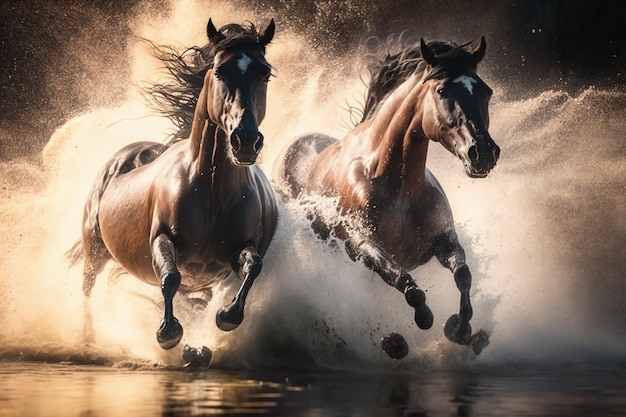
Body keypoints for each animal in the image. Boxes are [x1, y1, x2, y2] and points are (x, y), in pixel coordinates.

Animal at [66, 19, 278, 352]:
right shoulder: (162, 238)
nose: (245, 141)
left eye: (265, 72)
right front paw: (168, 334)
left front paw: (226, 316)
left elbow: (253, 267)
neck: (212, 192)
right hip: (95, 250)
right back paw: (88, 341)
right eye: (219, 71)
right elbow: (170, 278)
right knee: (88, 289)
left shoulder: (241, 248)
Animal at [278, 37, 498, 354]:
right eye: (442, 90)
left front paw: (460, 328)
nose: (483, 153)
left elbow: (463, 274)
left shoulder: (445, 240)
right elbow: (405, 282)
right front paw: (422, 321)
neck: (398, 186)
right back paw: (389, 342)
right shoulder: (362, 244)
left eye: (485, 91)